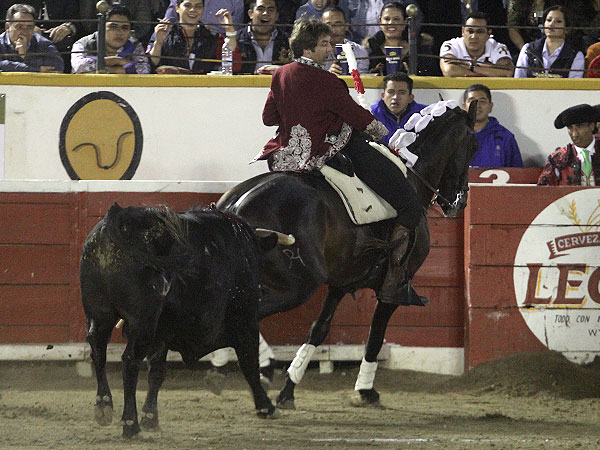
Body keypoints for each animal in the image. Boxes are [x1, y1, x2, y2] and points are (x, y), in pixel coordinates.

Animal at [80, 203, 282, 438]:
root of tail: (119, 216)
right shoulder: (246, 321)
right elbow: (249, 364)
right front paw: (265, 406)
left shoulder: (163, 332)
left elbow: (157, 372)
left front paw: (151, 417)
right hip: (143, 322)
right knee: (130, 360)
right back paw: (130, 425)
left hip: (99, 314)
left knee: (98, 351)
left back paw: (104, 406)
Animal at [216, 100, 478, 408]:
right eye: (473, 145)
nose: (459, 202)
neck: (413, 178)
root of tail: (235, 205)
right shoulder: (391, 290)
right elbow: (375, 335)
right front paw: (366, 390)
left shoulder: (341, 283)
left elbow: (319, 329)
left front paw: (289, 389)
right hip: (297, 285)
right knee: (244, 314)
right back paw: (261, 365)